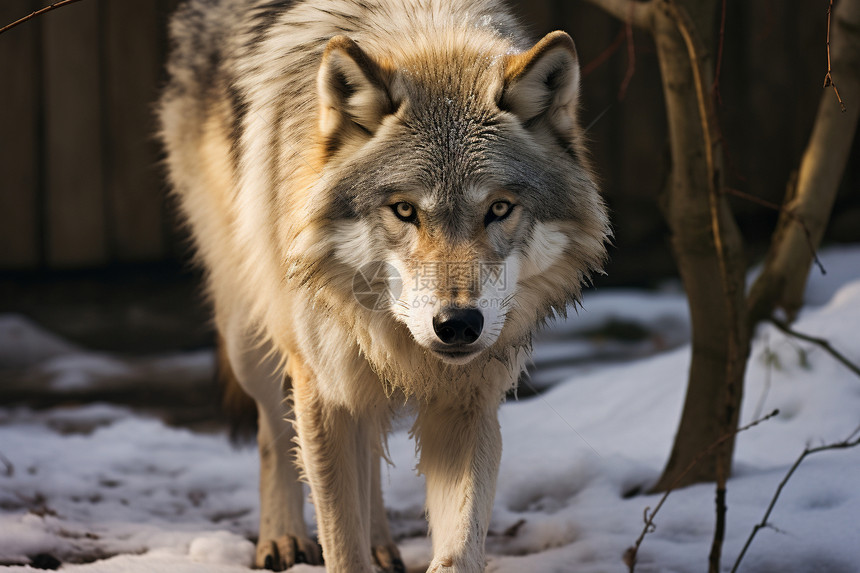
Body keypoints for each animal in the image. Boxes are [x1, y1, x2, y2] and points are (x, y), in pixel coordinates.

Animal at [158, 0, 608, 568]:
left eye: (499, 208)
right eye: (405, 210)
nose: (457, 325)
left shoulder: (468, 402)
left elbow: (457, 547)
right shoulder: (323, 393)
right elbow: (340, 539)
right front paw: (338, 545)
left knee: (368, 444)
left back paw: (379, 542)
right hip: (249, 331)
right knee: (272, 431)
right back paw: (282, 537)